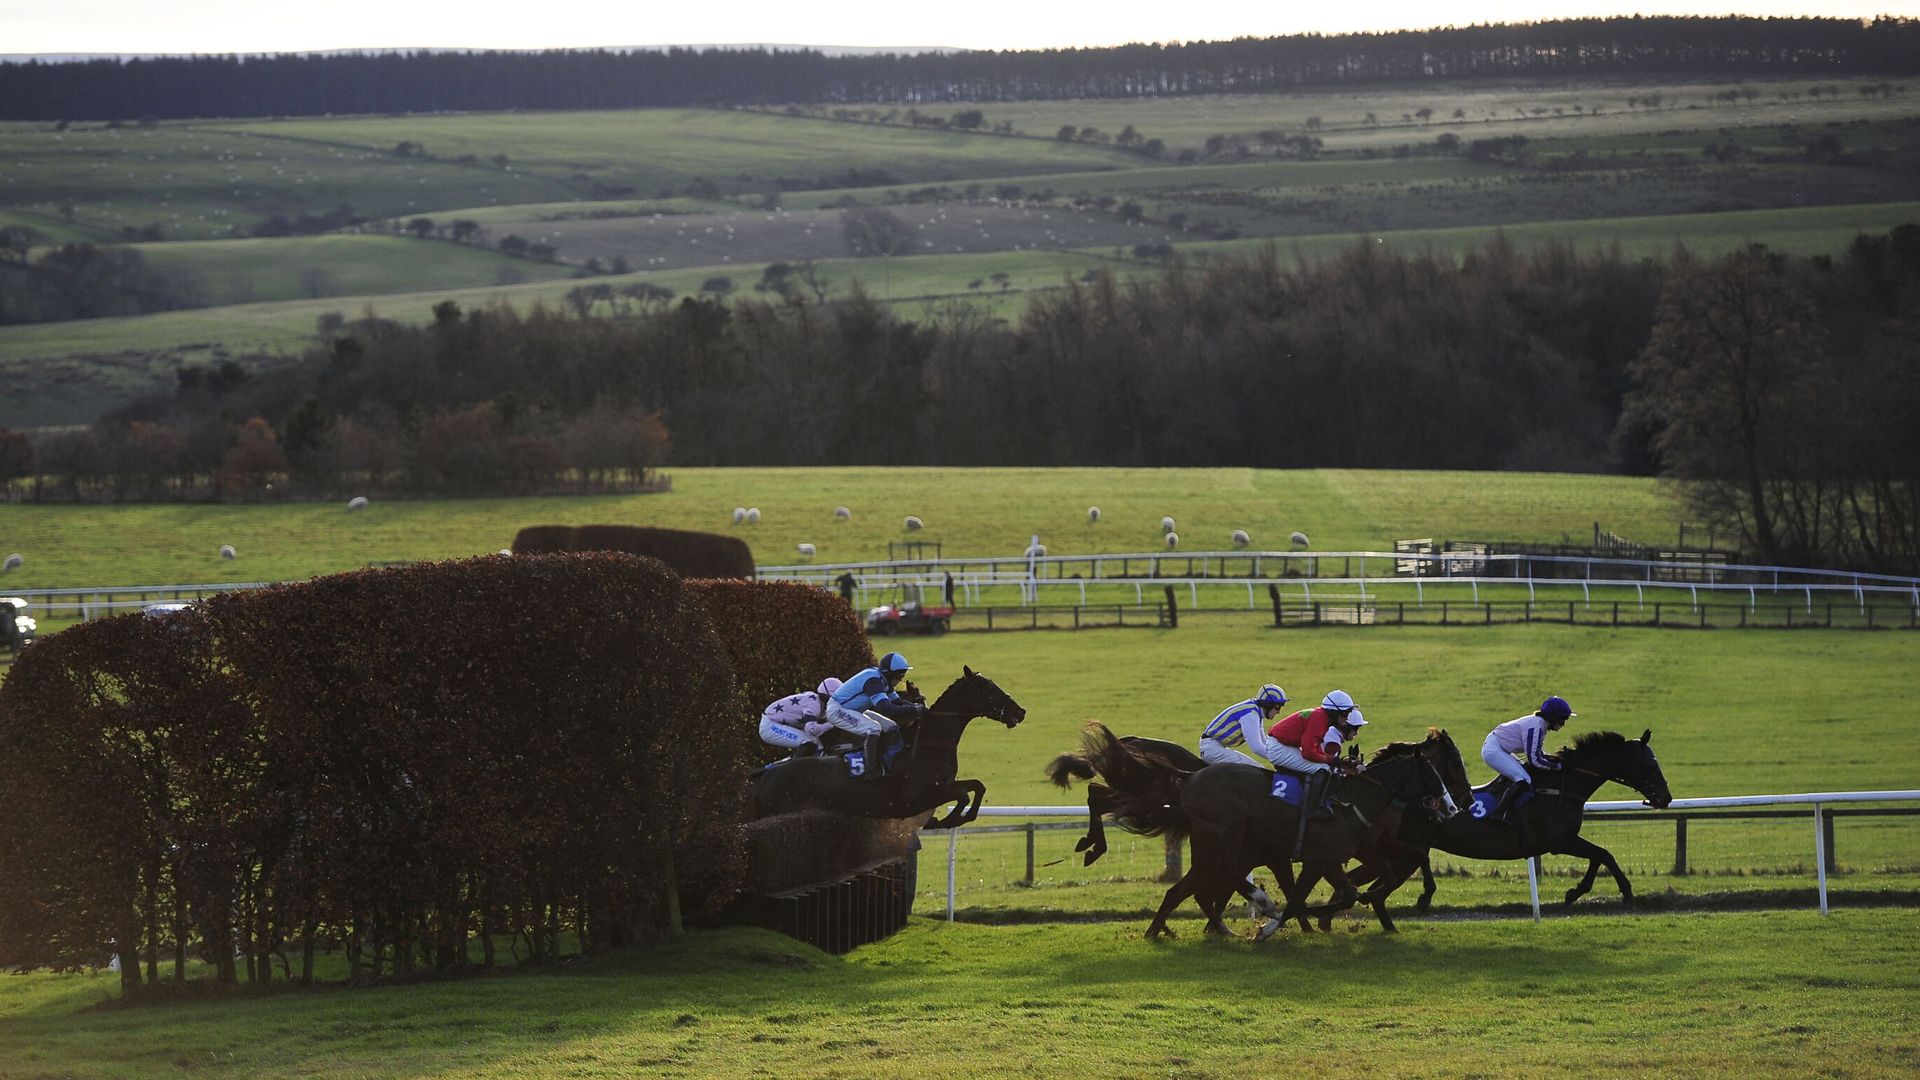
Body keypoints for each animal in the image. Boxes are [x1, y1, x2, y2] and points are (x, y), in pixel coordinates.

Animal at [748, 661, 1029, 826]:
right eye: (988, 688)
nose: (1020, 711)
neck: (926, 745)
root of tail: (763, 777)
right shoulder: (917, 796)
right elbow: (962, 795)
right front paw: (945, 820)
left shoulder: (943, 784)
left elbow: (977, 786)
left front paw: (961, 816)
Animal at [1328, 722, 1674, 926]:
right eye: (1649, 764)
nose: (1665, 797)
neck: (1559, 786)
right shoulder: (1558, 841)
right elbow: (1603, 854)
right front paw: (1618, 892)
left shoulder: (1563, 841)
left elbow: (1599, 855)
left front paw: (1577, 891)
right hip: (1401, 848)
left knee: (1362, 879)